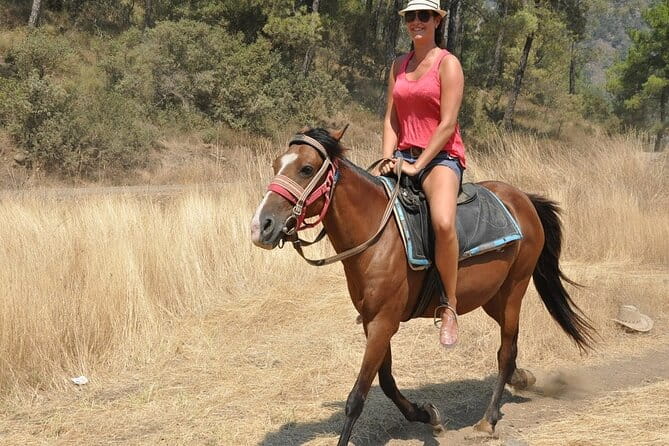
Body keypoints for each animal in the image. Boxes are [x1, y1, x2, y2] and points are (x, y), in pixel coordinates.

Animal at [250, 127, 594, 445]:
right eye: (276, 164)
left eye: (306, 169)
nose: (260, 226)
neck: (378, 236)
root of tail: (523, 199)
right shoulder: (375, 322)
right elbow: (386, 381)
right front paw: (428, 415)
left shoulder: (384, 322)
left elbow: (357, 397)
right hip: (492, 298)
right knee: (511, 350)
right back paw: (521, 380)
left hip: (514, 290)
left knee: (506, 351)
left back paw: (488, 420)